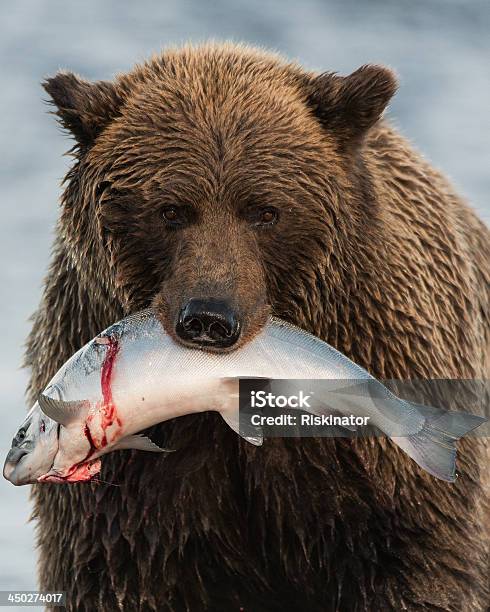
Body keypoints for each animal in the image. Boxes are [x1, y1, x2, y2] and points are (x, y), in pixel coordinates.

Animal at [27, 40, 490, 608]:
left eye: (265, 211)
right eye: (170, 210)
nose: (209, 317)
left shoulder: (375, 444)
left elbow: (417, 564)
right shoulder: (140, 487)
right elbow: (122, 567)